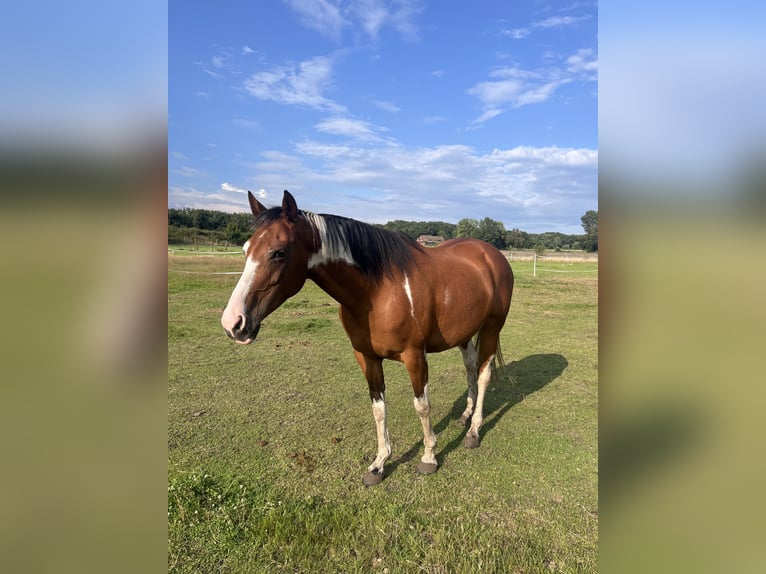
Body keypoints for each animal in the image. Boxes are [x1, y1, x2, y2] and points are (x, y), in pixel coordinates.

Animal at [221, 190, 514, 486]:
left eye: (279, 252)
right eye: (246, 249)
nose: (233, 323)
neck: (378, 291)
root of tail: (490, 254)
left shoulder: (415, 356)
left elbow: (422, 406)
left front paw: (429, 456)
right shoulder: (367, 357)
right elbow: (378, 408)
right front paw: (379, 464)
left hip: (491, 327)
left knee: (483, 374)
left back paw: (474, 431)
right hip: (464, 333)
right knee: (470, 367)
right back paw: (466, 415)